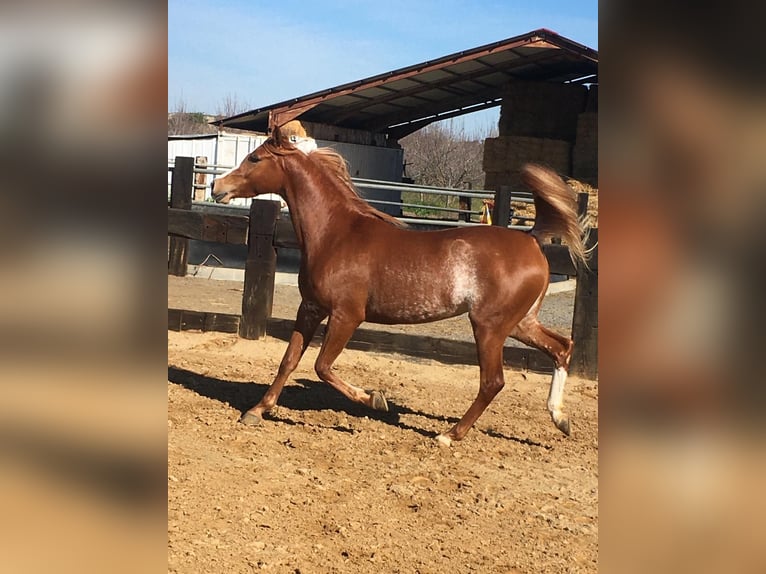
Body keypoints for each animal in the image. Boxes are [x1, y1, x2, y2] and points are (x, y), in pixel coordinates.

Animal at [210, 128, 588, 448]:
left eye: (255, 158)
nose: (217, 186)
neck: (336, 234)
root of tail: (532, 239)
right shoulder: (311, 308)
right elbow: (288, 360)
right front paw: (256, 410)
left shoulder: (347, 315)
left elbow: (322, 366)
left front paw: (374, 399)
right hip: (521, 323)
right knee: (561, 348)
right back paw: (561, 418)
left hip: (490, 326)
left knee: (493, 381)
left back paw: (449, 435)